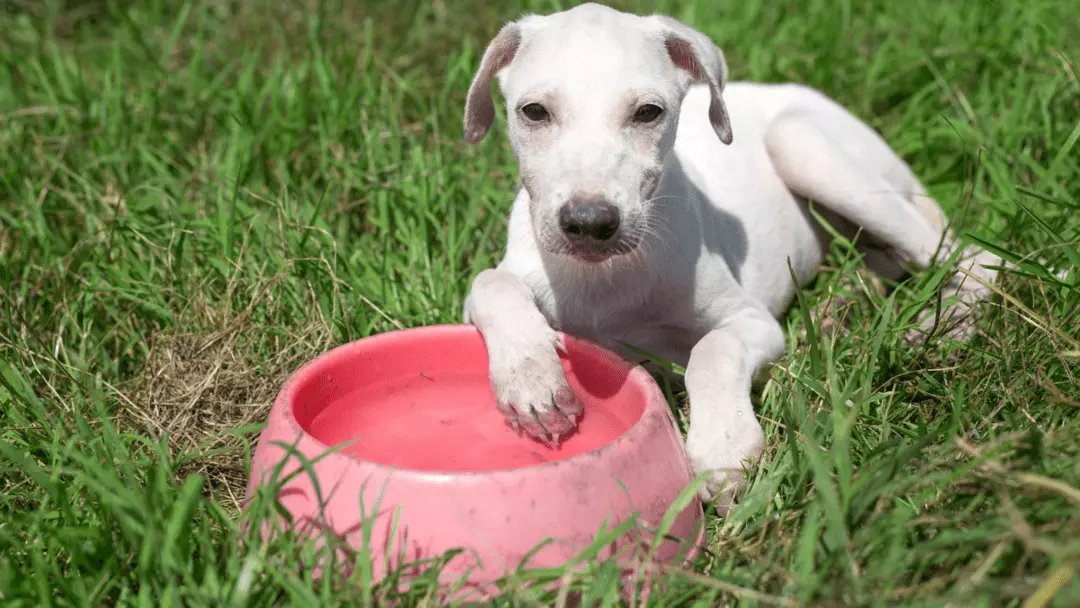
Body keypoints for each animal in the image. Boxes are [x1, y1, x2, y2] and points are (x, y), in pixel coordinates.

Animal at [460, 2, 997, 507]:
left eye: (648, 112)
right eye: (533, 111)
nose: (589, 224)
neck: (607, 278)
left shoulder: (755, 322)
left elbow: (712, 351)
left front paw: (723, 449)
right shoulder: (512, 275)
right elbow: (491, 283)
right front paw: (532, 380)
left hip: (803, 145)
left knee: (972, 257)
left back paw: (943, 327)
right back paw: (844, 302)